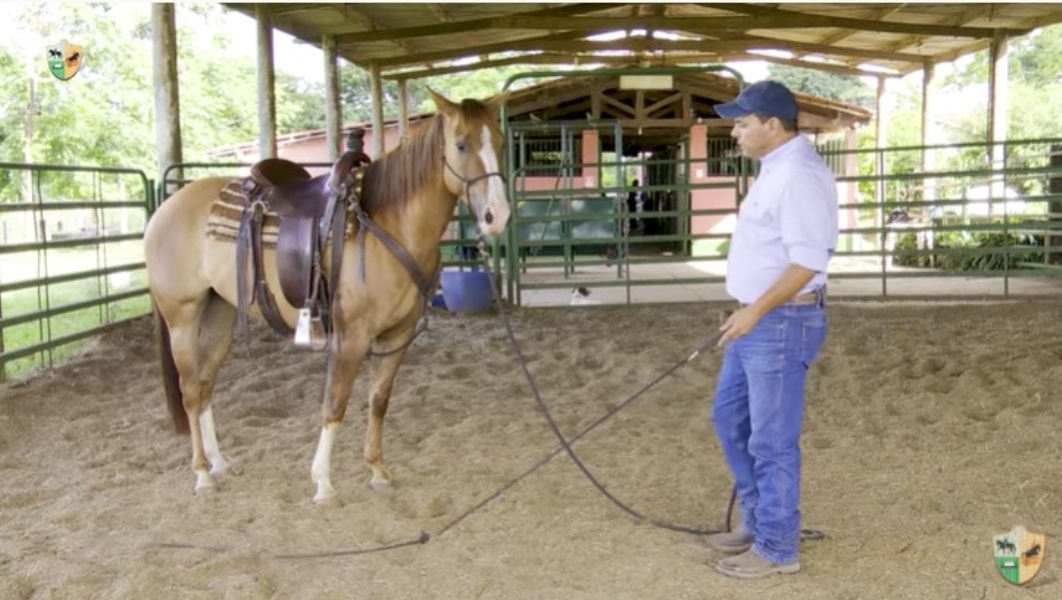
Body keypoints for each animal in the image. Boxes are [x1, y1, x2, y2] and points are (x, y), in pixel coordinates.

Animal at [145, 88, 509, 501]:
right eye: (461, 144)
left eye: (500, 142)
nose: (498, 215)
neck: (387, 225)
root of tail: (164, 209)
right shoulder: (350, 337)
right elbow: (335, 403)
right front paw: (322, 482)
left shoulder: (397, 336)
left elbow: (378, 400)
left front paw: (377, 470)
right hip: (182, 318)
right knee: (190, 389)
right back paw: (202, 473)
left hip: (218, 314)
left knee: (206, 385)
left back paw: (219, 462)